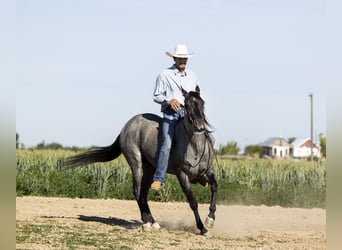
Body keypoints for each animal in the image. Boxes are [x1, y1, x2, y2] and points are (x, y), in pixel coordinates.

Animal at [60, 87, 218, 235]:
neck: (194, 147)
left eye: (202, 102)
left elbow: (215, 187)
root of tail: (127, 126)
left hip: (150, 168)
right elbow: (193, 202)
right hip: (136, 163)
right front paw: (202, 228)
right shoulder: (182, 175)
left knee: (143, 193)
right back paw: (147, 223)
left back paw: (153, 222)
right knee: (136, 191)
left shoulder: (207, 172)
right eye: (188, 104)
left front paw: (210, 220)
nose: (200, 125)